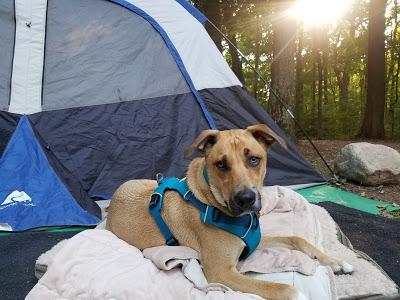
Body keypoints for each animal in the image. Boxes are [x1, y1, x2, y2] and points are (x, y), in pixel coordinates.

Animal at [107, 124, 354, 300]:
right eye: (221, 164)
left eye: (254, 159)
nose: (246, 199)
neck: (210, 202)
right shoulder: (222, 273)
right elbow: (282, 288)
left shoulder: (256, 241)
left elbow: (296, 238)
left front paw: (335, 262)